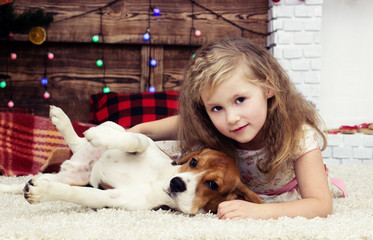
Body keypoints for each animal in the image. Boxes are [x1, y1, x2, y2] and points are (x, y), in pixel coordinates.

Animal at [0, 106, 262, 215]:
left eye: (213, 185)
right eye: (194, 162)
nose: (177, 183)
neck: (158, 181)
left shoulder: (111, 198)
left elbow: (78, 194)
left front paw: (42, 192)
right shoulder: (145, 143)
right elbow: (136, 140)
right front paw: (101, 135)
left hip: (67, 176)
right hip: (95, 141)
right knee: (82, 140)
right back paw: (67, 121)